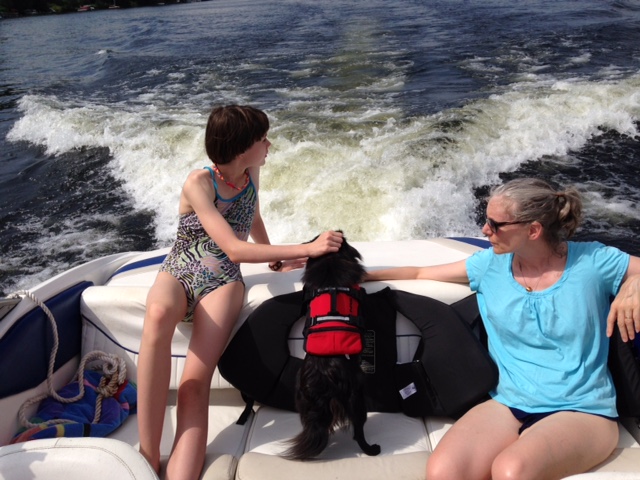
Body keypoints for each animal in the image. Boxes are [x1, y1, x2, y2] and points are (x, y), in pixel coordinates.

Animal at [284, 234, 380, 460]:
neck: (330, 261)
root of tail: (326, 375)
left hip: (302, 398)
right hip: (357, 398)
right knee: (359, 431)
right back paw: (371, 449)